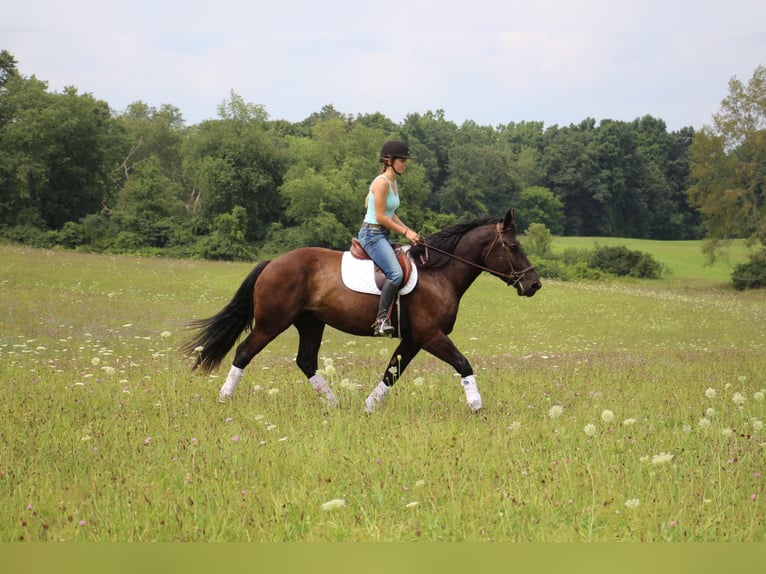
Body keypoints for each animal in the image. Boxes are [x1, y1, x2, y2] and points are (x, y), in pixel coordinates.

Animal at [183, 209, 544, 412]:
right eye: (513, 247)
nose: (534, 284)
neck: (439, 273)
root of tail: (274, 262)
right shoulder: (431, 336)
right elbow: (463, 363)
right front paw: (476, 405)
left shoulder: (413, 339)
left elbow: (392, 373)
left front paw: (369, 407)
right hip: (272, 323)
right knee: (244, 352)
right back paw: (224, 398)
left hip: (310, 323)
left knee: (306, 361)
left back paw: (334, 404)